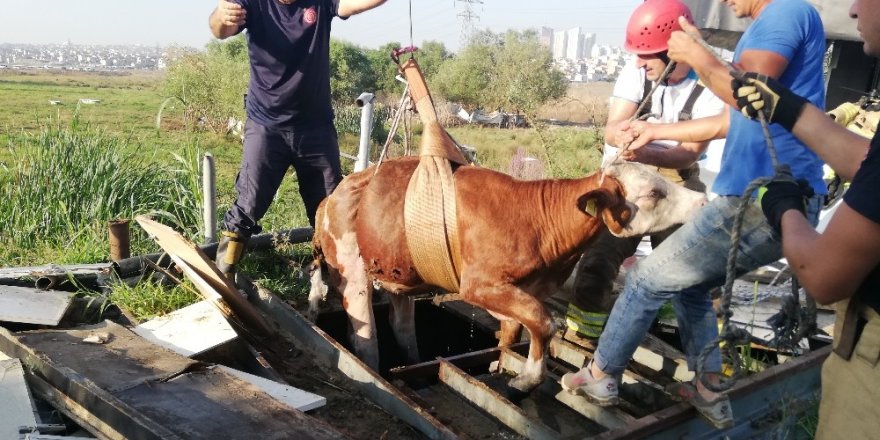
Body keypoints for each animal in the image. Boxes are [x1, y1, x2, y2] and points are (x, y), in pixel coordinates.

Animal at [310, 157, 708, 392]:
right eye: (655, 192)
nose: (704, 201)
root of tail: (334, 194)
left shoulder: (520, 290)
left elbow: (513, 332)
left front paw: (500, 361)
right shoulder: (478, 285)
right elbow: (544, 322)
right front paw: (528, 378)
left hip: (399, 275)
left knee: (401, 325)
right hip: (353, 271)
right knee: (364, 333)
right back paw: (372, 369)